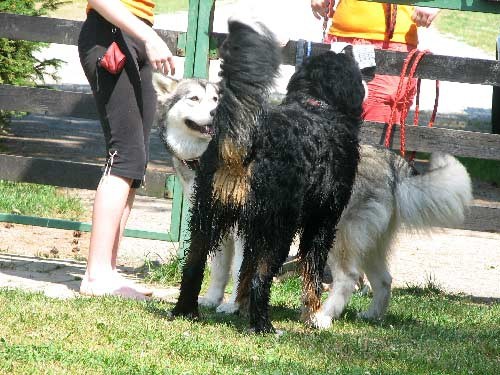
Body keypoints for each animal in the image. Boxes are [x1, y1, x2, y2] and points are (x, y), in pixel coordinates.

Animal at [171, 19, 364, 334]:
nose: (347, 46)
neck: (316, 105)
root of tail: (248, 140)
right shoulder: (321, 221)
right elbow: (311, 273)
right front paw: (313, 316)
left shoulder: (251, 227)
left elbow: (244, 272)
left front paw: (238, 306)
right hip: (278, 229)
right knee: (263, 277)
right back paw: (265, 326)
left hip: (206, 215)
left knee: (194, 266)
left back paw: (185, 311)